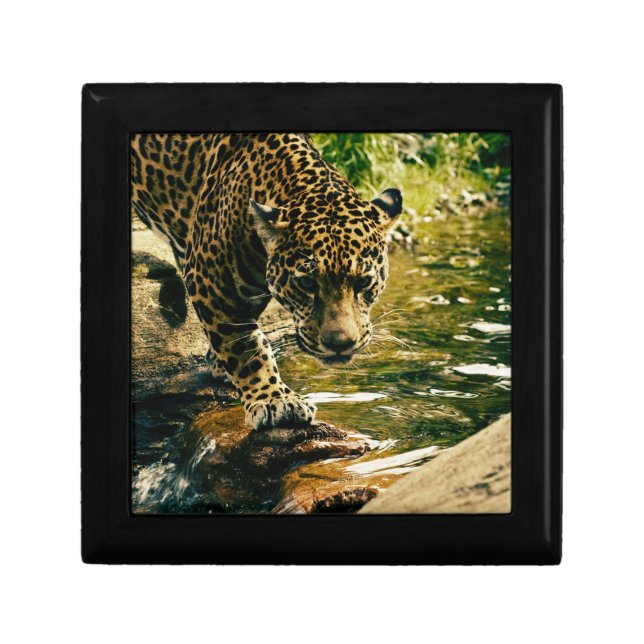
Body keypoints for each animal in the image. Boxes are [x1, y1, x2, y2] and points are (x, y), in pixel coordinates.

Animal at [131, 133, 402, 430]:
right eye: (307, 284)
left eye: (363, 283)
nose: (339, 344)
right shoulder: (211, 280)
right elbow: (247, 346)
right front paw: (275, 399)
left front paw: (219, 364)